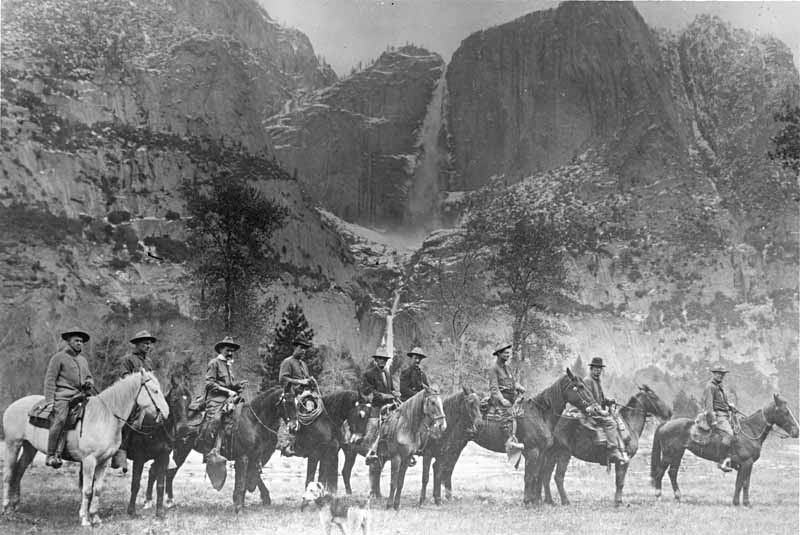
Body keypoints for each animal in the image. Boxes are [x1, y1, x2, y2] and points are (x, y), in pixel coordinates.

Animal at [2, 370, 169, 524]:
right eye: (155, 390)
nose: (166, 414)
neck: (105, 416)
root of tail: (12, 406)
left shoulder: (103, 462)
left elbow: (97, 489)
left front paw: (95, 517)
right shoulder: (89, 461)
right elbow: (87, 490)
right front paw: (85, 519)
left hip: (29, 448)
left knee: (18, 471)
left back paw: (14, 506)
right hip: (13, 444)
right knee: (8, 474)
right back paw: (6, 508)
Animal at [540, 386, 672, 506]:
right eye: (654, 397)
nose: (669, 413)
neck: (629, 425)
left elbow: (619, 481)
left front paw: (618, 500)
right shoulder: (624, 461)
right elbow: (620, 482)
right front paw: (618, 502)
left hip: (552, 455)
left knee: (546, 476)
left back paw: (549, 501)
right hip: (564, 454)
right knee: (558, 477)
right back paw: (565, 501)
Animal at [648, 394, 800, 506]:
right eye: (785, 411)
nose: (796, 431)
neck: (750, 431)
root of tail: (665, 424)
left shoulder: (745, 465)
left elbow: (744, 483)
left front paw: (743, 502)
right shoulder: (747, 463)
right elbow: (741, 483)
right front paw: (739, 503)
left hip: (678, 454)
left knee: (672, 473)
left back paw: (678, 498)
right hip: (668, 455)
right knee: (660, 472)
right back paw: (658, 496)